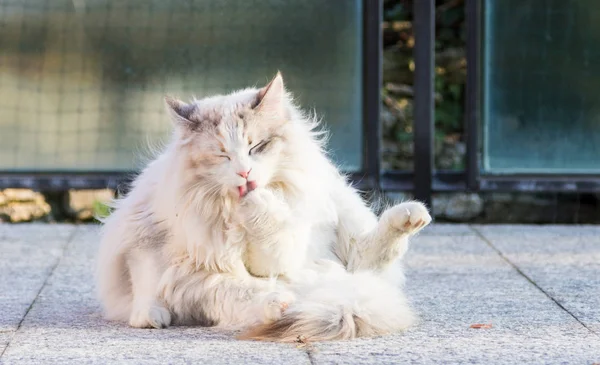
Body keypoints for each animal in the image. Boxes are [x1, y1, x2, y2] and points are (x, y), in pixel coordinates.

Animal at [96, 72, 428, 342]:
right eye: (222, 155)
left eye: (256, 147)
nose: (245, 174)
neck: (228, 216)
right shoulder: (148, 238)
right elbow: (149, 282)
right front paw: (149, 316)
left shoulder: (276, 254)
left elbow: (268, 228)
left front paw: (256, 201)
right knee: (247, 294)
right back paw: (282, 303)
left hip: (342, 214)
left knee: (365, 258)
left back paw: (409, 217)